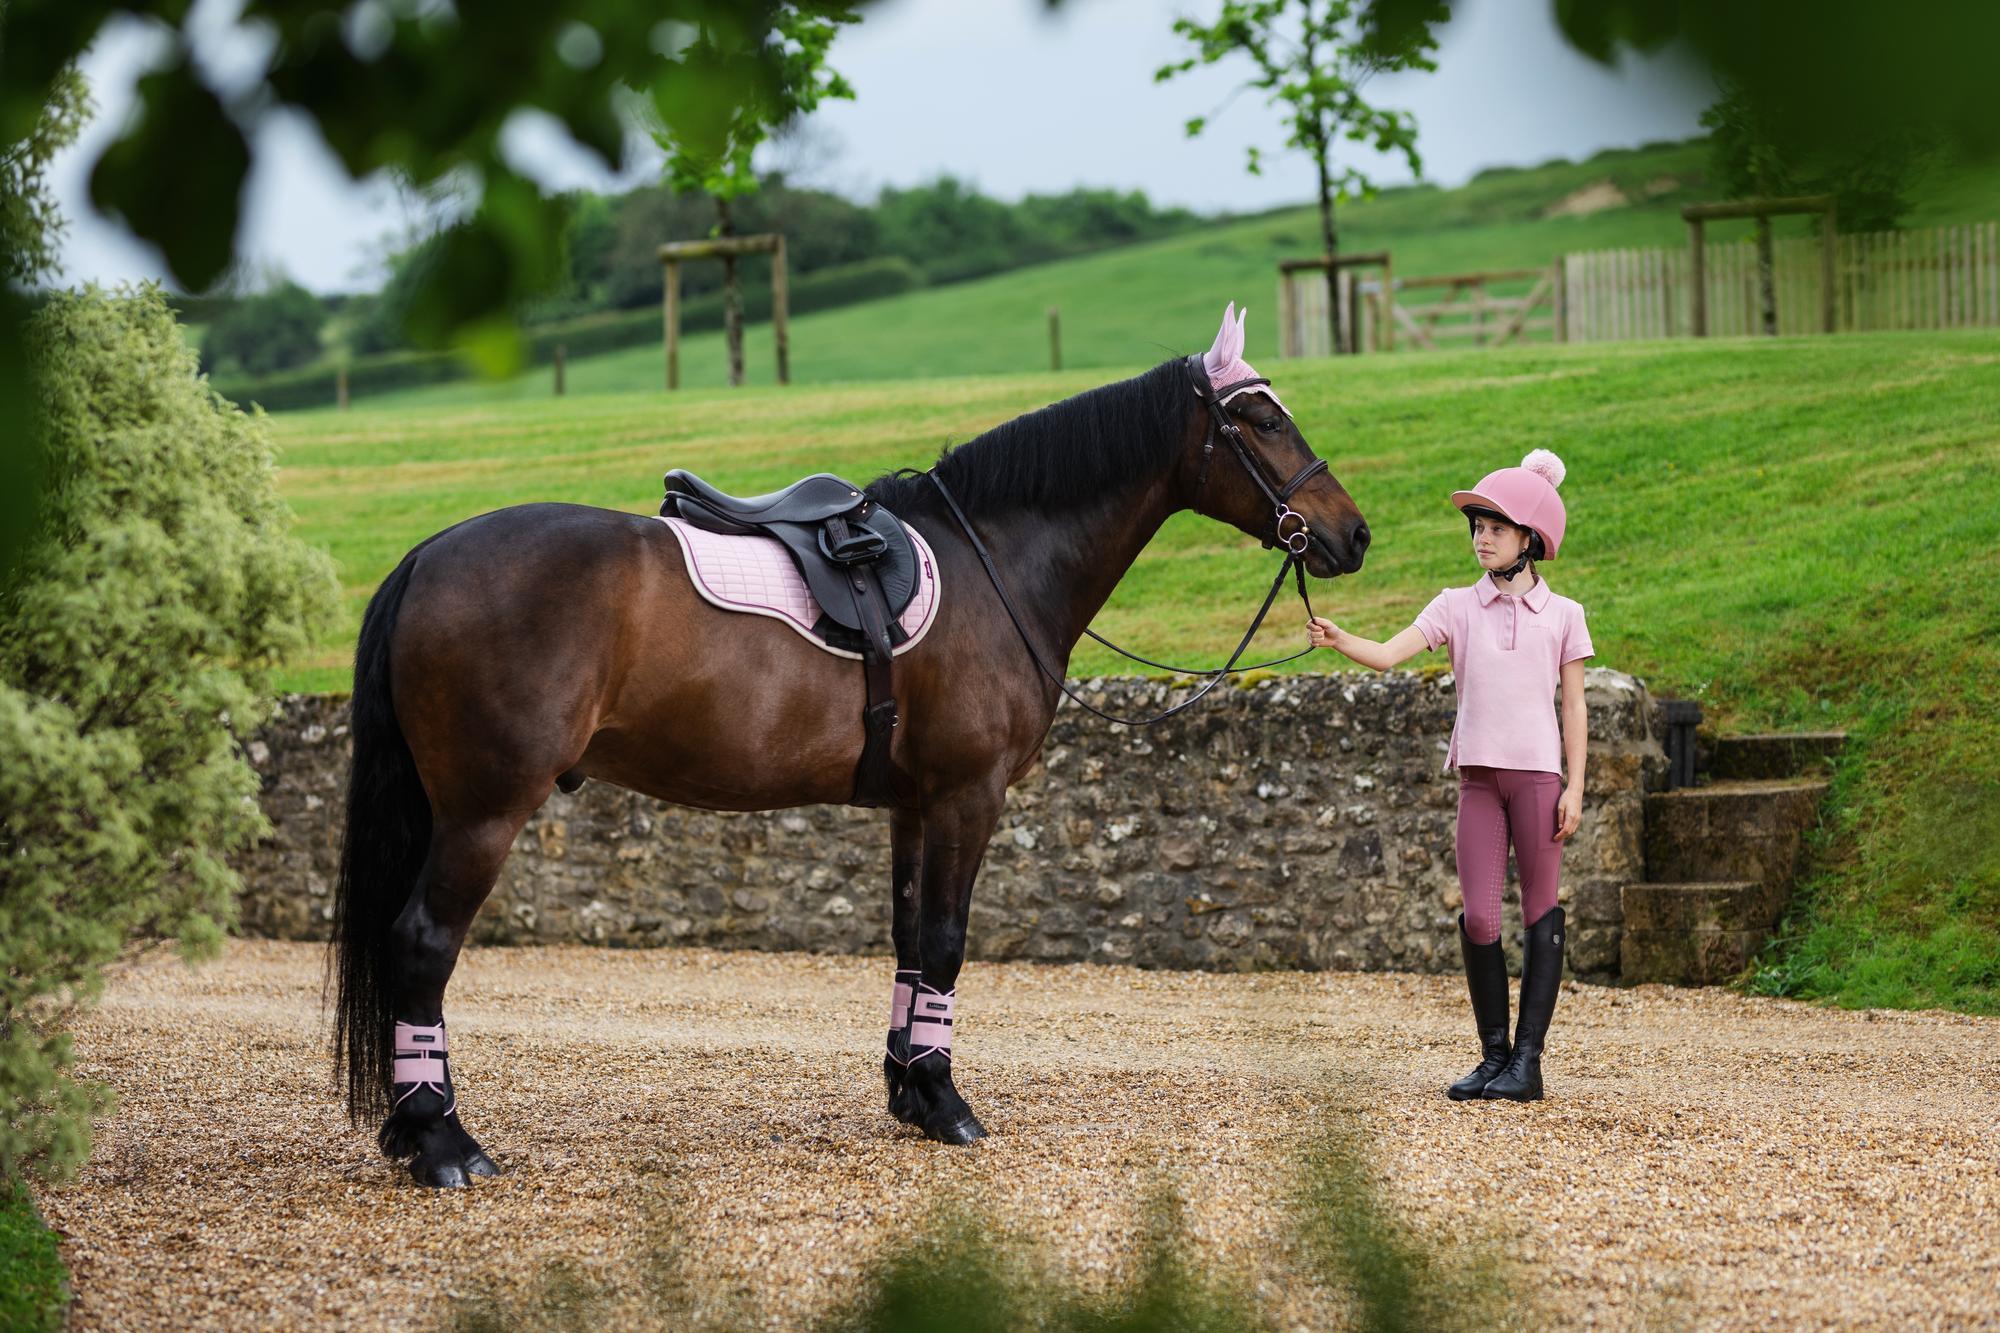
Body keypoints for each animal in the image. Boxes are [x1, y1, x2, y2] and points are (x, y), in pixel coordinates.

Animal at [332, 304, 1360, 1184]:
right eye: (1261, 417)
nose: (1352, 534)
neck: (994, 560)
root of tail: (428, 556)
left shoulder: (913, 804)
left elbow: (908, 943)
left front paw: (911, 1087)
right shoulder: (968, 794)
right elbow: (946, 941)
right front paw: (946, 1099)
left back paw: (412, 1125)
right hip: (484, 810)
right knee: (421, 944)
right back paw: (444, 1143)